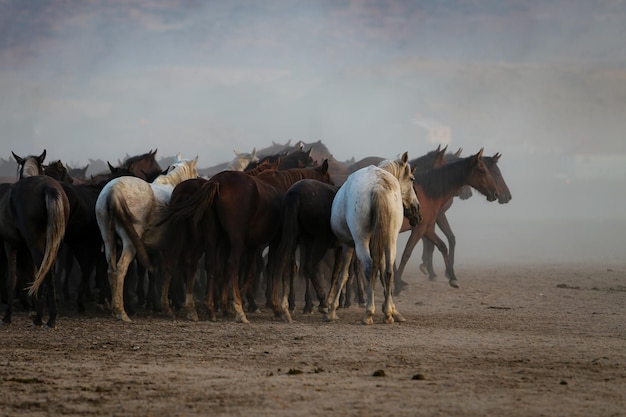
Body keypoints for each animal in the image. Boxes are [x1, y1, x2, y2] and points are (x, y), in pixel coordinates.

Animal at [0, 150, 69, 328]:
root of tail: (49, 188)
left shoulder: (11, 245)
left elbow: (13, 278)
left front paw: (8, 316)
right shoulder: (27, 250)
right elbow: (32, 274)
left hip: (33, 243)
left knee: (45, 273)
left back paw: (47, 318)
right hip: (53, 244)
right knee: (47, 270)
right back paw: (43, 316)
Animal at [94, 154, 197, 320]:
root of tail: (113, 192)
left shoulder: (155, 249)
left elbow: (156, 271)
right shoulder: (170, 247)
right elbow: (169, 272)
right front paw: (168, 305)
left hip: (108, 239)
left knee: (111, 268)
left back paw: (116, 308)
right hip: (129, 242)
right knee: (121, 267)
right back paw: (122, 311)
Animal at [165, 159, 332, 322]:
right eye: (328, 180)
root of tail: (216, 182)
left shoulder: (252, 245)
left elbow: (249, 271)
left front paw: (230, 303)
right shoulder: (275, 241)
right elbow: (275, 268)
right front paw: (274, 305)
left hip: (210, 237)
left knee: (206, 265)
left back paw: (207, 308)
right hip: (233, 240)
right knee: (230, 265)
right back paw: (237, 310)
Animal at [324, 153, 422, 324]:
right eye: (411, 179)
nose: (417, 210)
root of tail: (378, 185)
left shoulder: (348, 245)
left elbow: (343, 275)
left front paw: (331, 311)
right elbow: (383, 273)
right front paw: (392, 311)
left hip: (361, 242)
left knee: (370, 267)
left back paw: (369, 313)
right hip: (390, 240)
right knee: (388, 271)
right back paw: (386, 314)